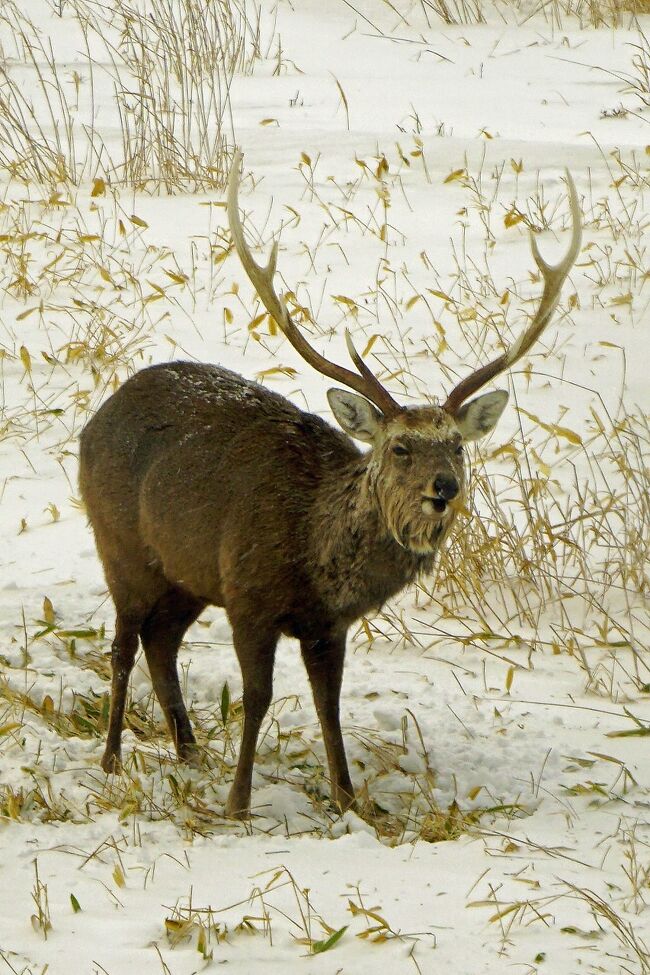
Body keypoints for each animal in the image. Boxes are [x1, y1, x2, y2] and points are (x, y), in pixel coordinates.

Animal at [78, 152, 580, 820]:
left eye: (456, 445)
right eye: (399, 447)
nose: (444, 488)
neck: (314, 555)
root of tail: (97, 416)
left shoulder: (328, 625)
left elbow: (329, 705)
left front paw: (348, 799)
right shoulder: (250, 596)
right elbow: (258, 698)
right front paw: (239, 802)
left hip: (185, 571)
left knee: (162, 643)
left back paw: (189, 753)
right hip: (121, 546)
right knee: (124, 646)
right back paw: (111, 759)